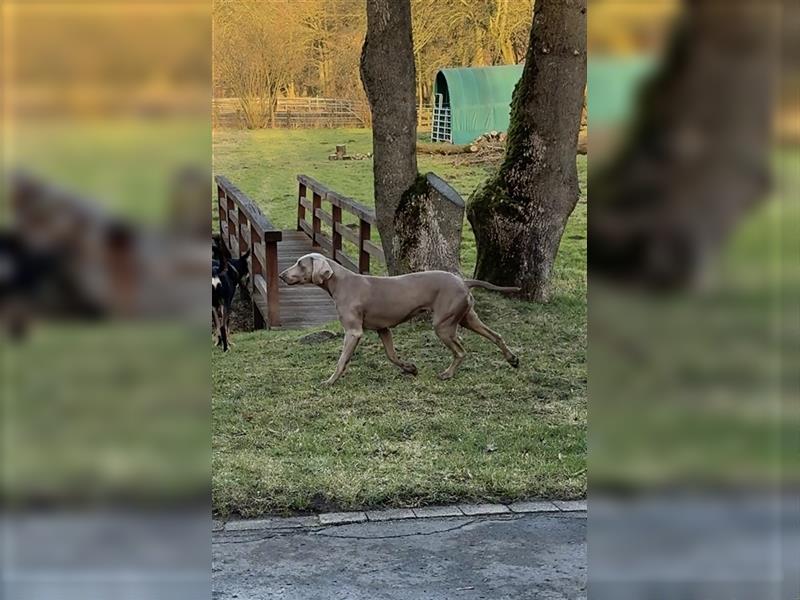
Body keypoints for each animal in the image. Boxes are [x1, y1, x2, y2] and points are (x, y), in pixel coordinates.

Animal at [280, 252, 520, 384]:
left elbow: (342, 361)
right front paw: (410, 368)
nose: (282, 275)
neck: (340, 282)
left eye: (300, 264)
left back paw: (447, 374)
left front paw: (330, 381)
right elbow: (392, 355)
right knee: (496, 335)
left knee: (461, 351)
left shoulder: (353, 332)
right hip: (466, 318)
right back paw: (512, 359)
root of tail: (463, 281)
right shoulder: (383, 329)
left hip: (443, 324)